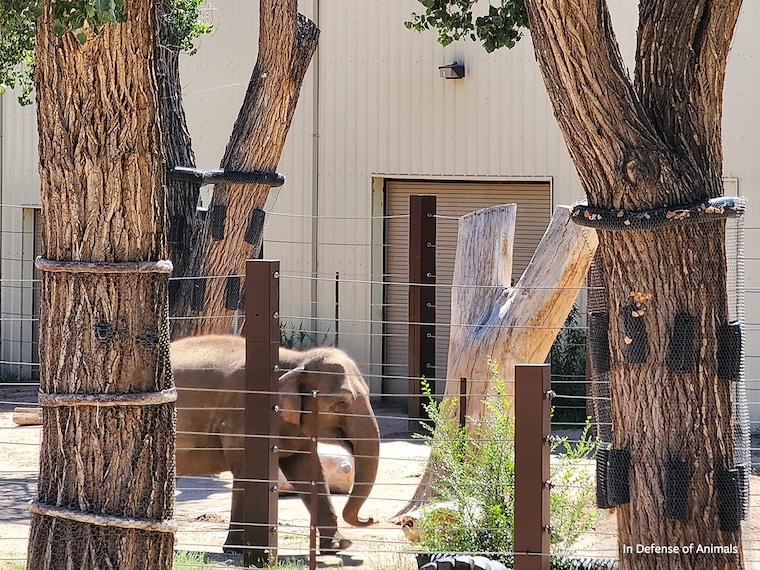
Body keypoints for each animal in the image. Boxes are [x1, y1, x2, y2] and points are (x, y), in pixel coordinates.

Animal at [171, 335, 380, 554]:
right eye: (342, 402)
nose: (370, 518)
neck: (295, 359)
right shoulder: (244, 416)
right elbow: (248, 472)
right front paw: (237, 549)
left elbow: (308, 472)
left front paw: (338, 545)